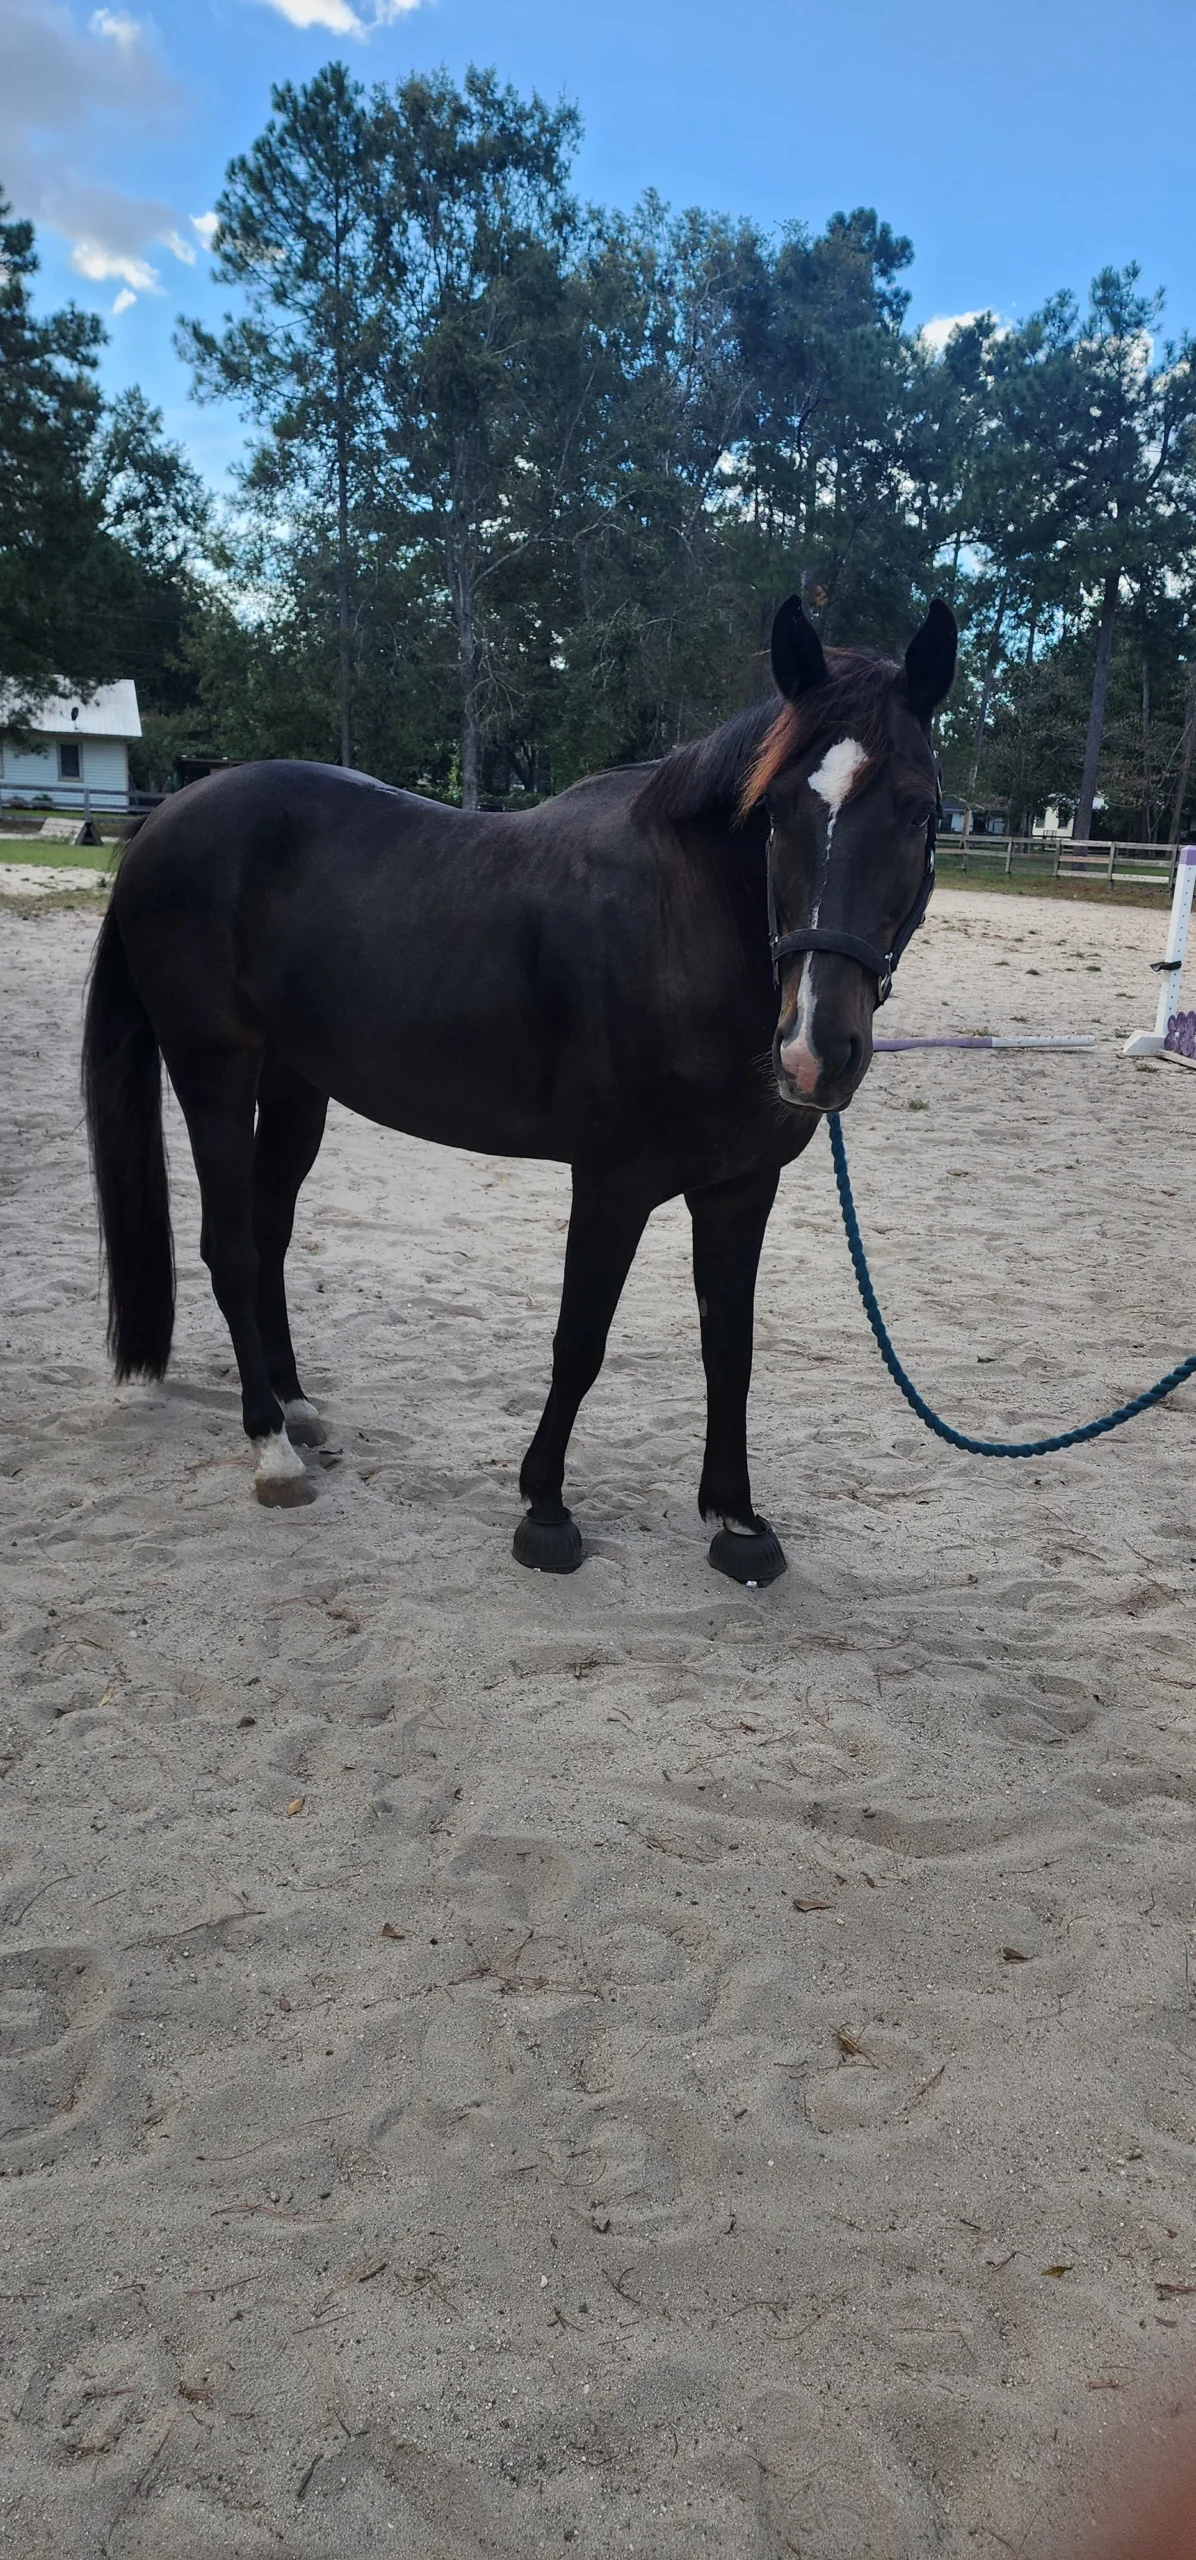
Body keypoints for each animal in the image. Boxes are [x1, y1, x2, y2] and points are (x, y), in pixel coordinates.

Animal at [82, 594, 956, 1585]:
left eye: (920, 811)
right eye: (773, 812)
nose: (813, 1051)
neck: (680, 929)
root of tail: (166, 819)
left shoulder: (740, 1188)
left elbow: (728, 1347)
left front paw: (736, 1520)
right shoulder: (612, 1182)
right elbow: (580, 1339)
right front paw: (545, 1508)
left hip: (296, 1083)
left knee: (268, 1238)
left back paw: (298, 1410)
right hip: (215, 1070)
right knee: (230, 1248)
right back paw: (271, 1449)